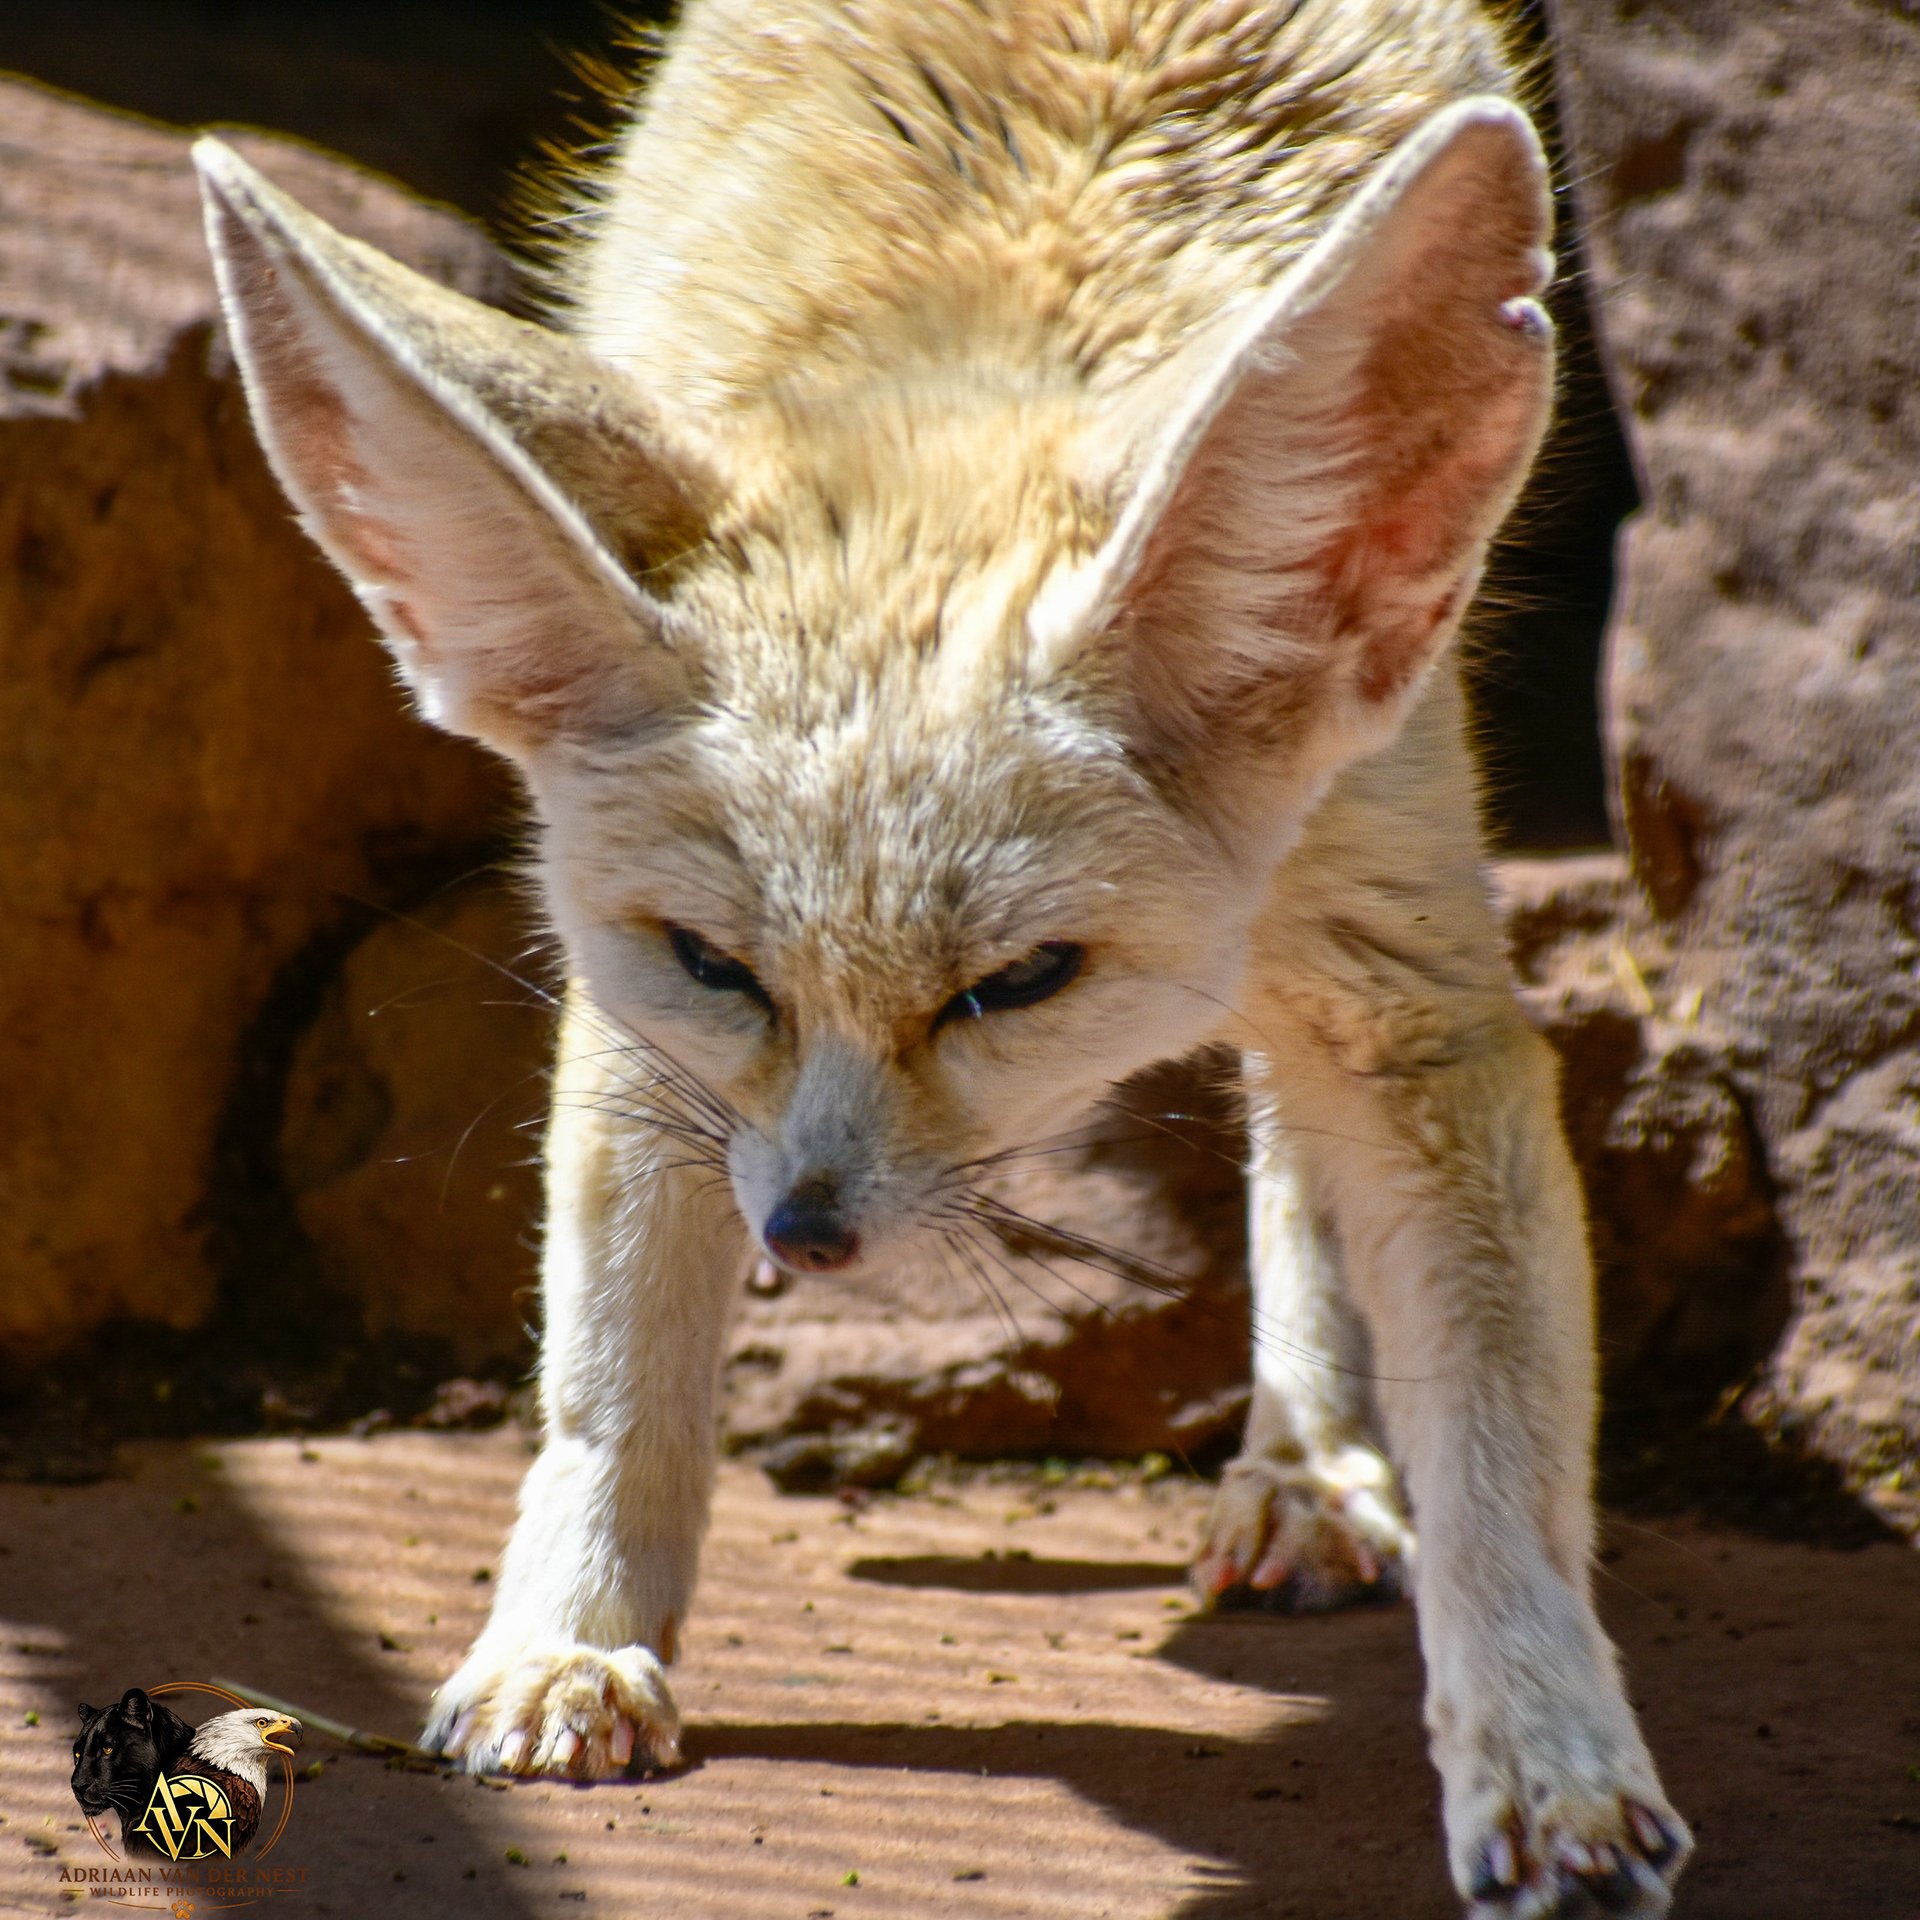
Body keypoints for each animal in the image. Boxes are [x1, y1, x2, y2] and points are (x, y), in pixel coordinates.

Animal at [191, 0, 1692, 1913]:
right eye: (717, 965)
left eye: (1017, 984)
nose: (808, 1236)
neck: (973, 324)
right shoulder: (646, 1025)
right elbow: (611, 1367)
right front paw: (569, 1637)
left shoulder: (1405, 977)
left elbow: (1502, 1441)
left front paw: (1549, 1756)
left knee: (1292, 1135)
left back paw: (1303, 1457)